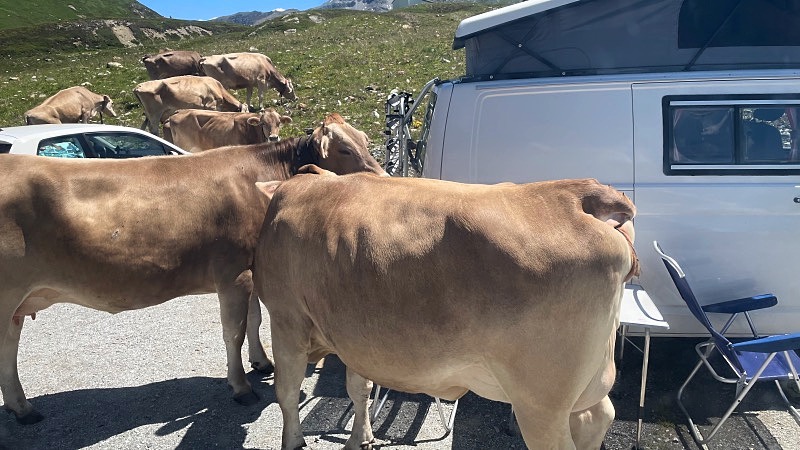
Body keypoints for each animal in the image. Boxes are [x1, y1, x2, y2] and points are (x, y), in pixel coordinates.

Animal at [0, 113, 388, 426]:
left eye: (365, 140)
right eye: (344, 150)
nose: (384, 177)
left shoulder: (250, 269)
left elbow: (254, 319)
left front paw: (261, 362)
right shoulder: (233, 272)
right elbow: (234, 331)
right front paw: (241, 386)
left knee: (8, 348)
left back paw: (21, 407)